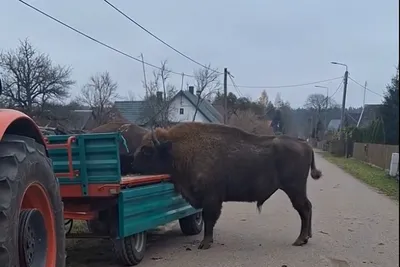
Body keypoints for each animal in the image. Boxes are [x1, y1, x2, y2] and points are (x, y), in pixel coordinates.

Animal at [133, 122, 324, 250]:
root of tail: (305, 145)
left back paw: (300, 240)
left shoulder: (211, 198)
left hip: (294, 189)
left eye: (147, 151)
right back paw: (306, 237)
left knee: (304, 209)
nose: (131, 162)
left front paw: (204, 244)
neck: (179, 149)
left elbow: (209, 219)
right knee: (308, 207)